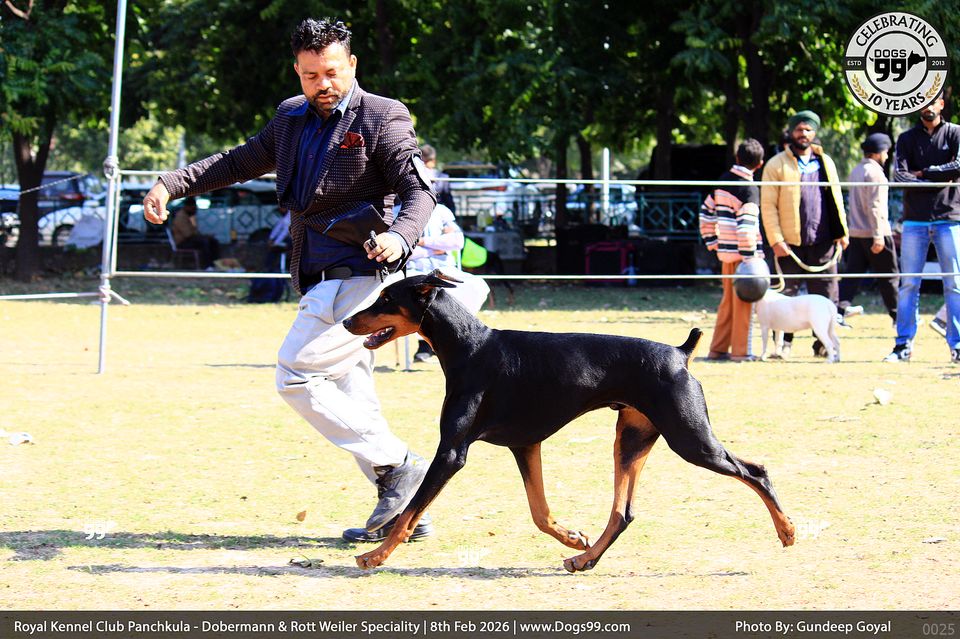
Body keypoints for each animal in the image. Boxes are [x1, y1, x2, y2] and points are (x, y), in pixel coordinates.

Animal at [342, 270, 795, 571]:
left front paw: (374, 555)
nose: (347, 321)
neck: (469, 346)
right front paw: (573, 537)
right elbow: (539, 512)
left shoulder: (453, 451)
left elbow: (408, 513)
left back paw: (787, 530)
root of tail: (680, 353)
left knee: (755, 471)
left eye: (386, 299)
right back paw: (585, 558)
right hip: (631, 439)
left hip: (690, 439)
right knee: (623, 512)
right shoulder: (525, 445)